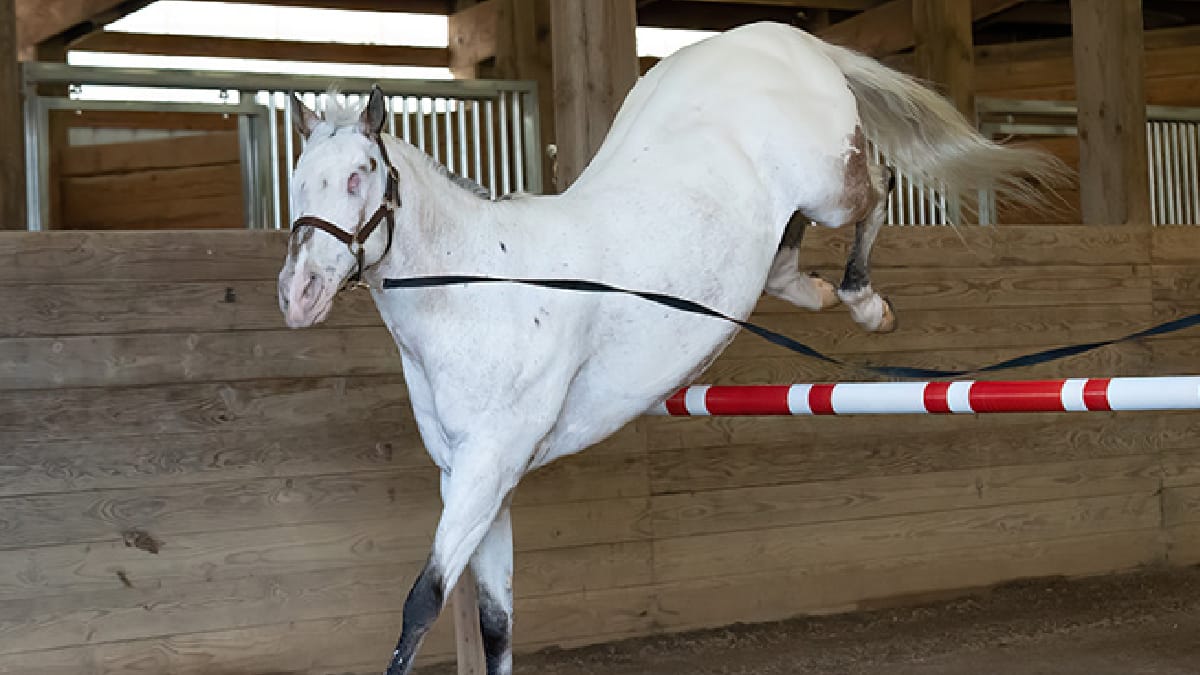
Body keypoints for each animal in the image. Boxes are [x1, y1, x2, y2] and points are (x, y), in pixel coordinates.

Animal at [277, 21, 1064, 675]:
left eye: (357, 177)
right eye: (298, 183)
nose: (299, 294)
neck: (482, 285)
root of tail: (786, 36)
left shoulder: (488, 465)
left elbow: (422, 603)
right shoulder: (475, 479)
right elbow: (495, 623)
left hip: (828, 185)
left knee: (880, 189)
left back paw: (867, 304)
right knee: (784, 260)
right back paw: (817, 294)